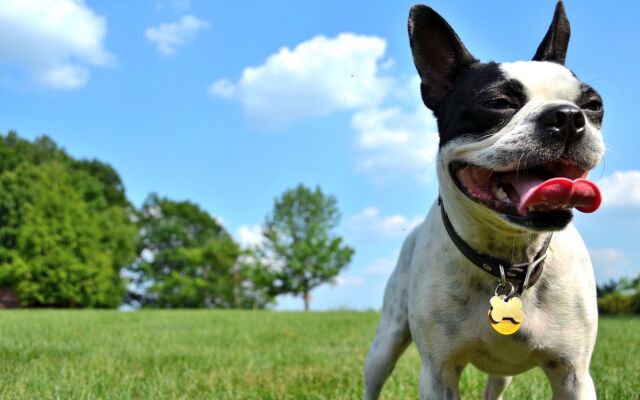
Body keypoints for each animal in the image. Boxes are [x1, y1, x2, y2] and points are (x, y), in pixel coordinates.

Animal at [364, 3, 604, 400]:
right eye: (498, 103)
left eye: (593, 104)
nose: (569, 116)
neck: (509, 262)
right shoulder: (438, 374)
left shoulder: (574, 375)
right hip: (385, 343)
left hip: (502, 373)